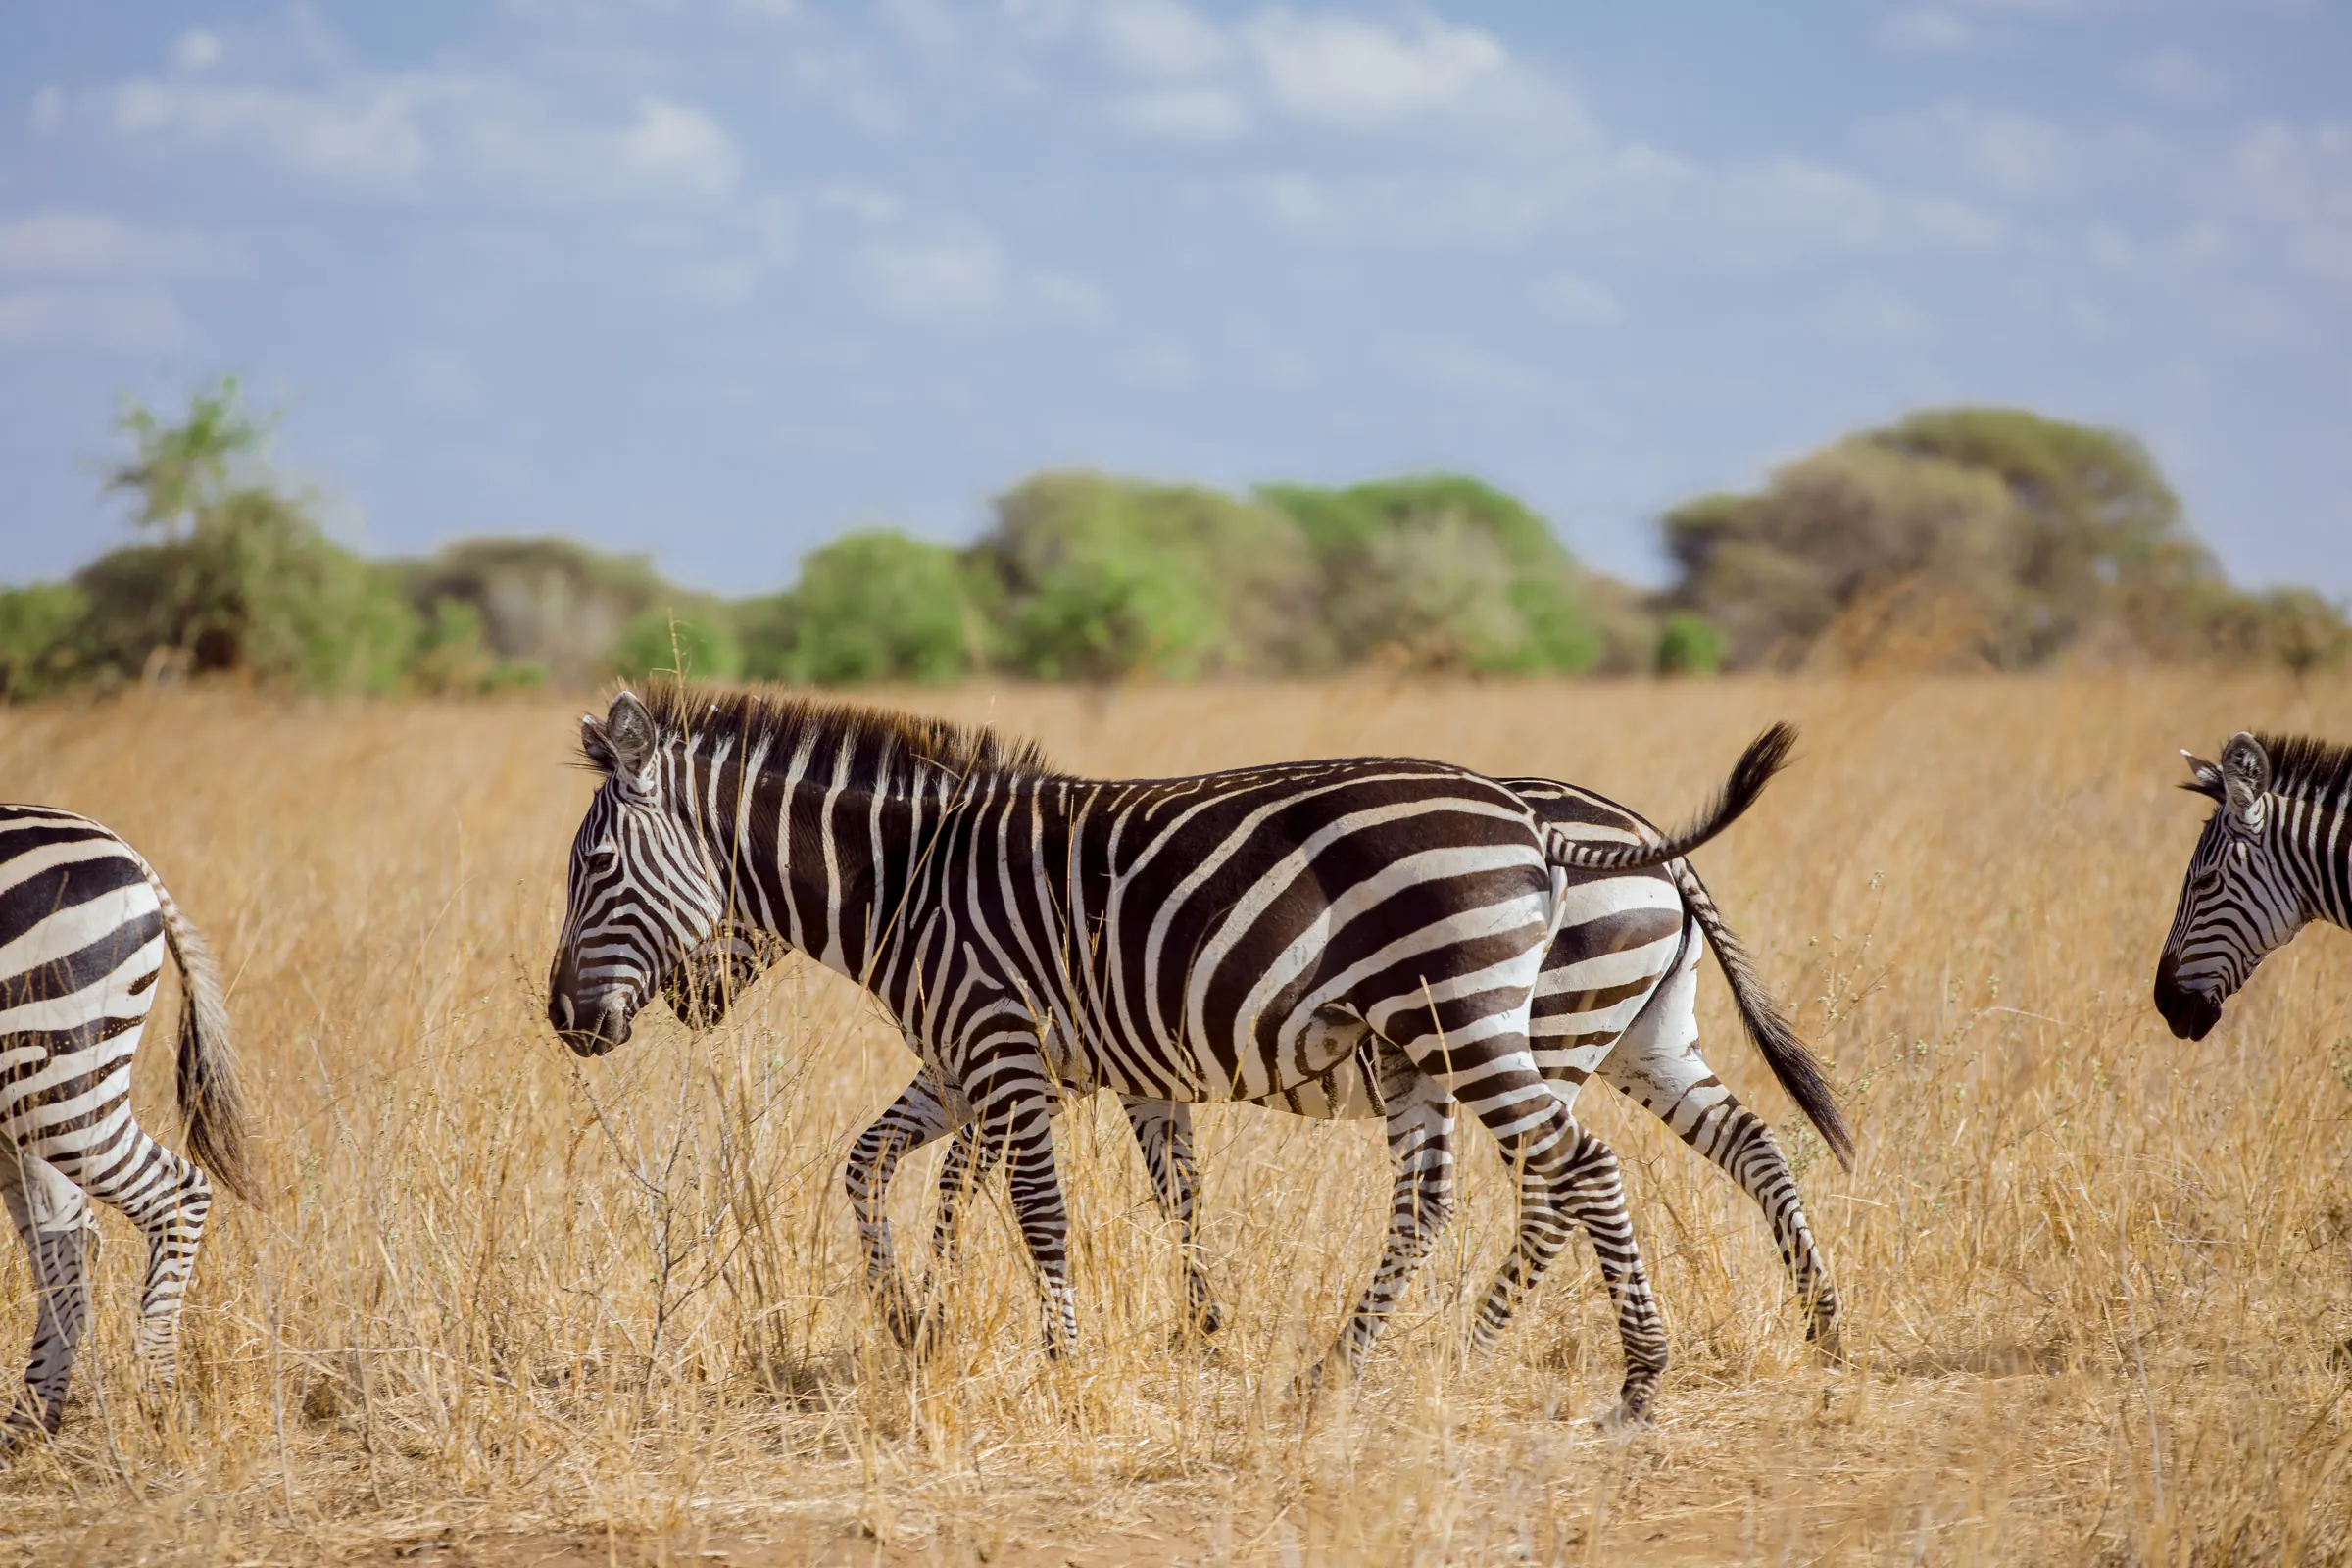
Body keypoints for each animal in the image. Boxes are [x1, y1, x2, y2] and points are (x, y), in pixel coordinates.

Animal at [0, 804, 256, 1438]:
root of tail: (122, 846)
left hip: (60, 1067)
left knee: (176, 1192)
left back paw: (157, 1398)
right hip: (26, 1098)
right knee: (67, 1240)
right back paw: (29, 1423)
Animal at [545, 687, 1819, 1423]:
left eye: (594, 869)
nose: (562, 1019)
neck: (910, 881)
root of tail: (1566, 825)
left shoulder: (1000, 1049)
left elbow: (1027, 1205)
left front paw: (1055, 1360)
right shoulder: (1011, 1065)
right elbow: (899, 1169)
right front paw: (925, 1318)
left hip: (1491, 1025)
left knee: (1571, 1174)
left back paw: (1629, 1376)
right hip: (1586, 1035)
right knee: (1694, 1150)